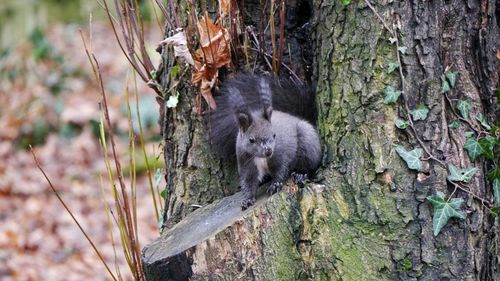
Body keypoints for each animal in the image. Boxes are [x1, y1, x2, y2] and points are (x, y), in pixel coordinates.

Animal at [209, 73, 322, 209]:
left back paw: (300, 174)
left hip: (307, 142)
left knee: (310, 165)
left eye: (274, 135)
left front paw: (276, 184)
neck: (260, 157)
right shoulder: (246, 162)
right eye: (251, 140)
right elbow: (248, 182)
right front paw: (247, 199)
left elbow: (281, 170)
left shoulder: (279, 155)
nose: (268, 151)